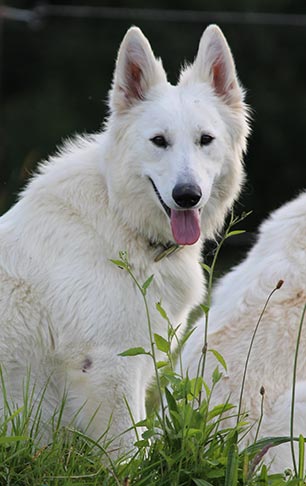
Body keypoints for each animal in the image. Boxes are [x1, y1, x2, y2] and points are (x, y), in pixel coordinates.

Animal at [0, 25, 249, 452]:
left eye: (205, 139)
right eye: (159, 141)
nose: (187, 195)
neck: (119, 216)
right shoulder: (109, 367)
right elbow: (131, 451)